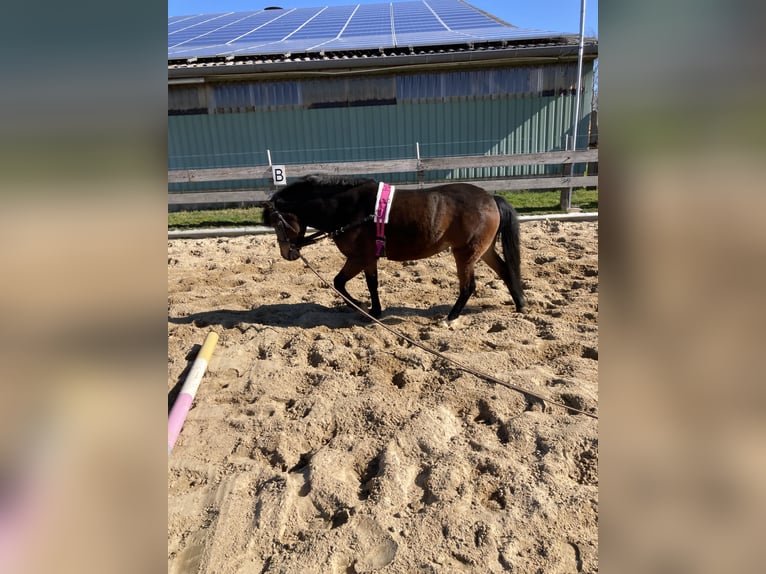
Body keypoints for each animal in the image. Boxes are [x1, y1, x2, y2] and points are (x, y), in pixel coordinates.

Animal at [262, 174, 526, 323]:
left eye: (277, 222)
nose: (287, 253)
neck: (350, 208)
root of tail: (490, 198)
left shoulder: (359, 257)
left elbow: (341, 283)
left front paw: (364, 308)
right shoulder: (367, 258)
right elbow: (367, 283)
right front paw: (374, 309)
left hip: (465, 253)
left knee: (468, 286)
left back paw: (450, 318)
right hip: (484, 250)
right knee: (505, 270)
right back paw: (520, 304)